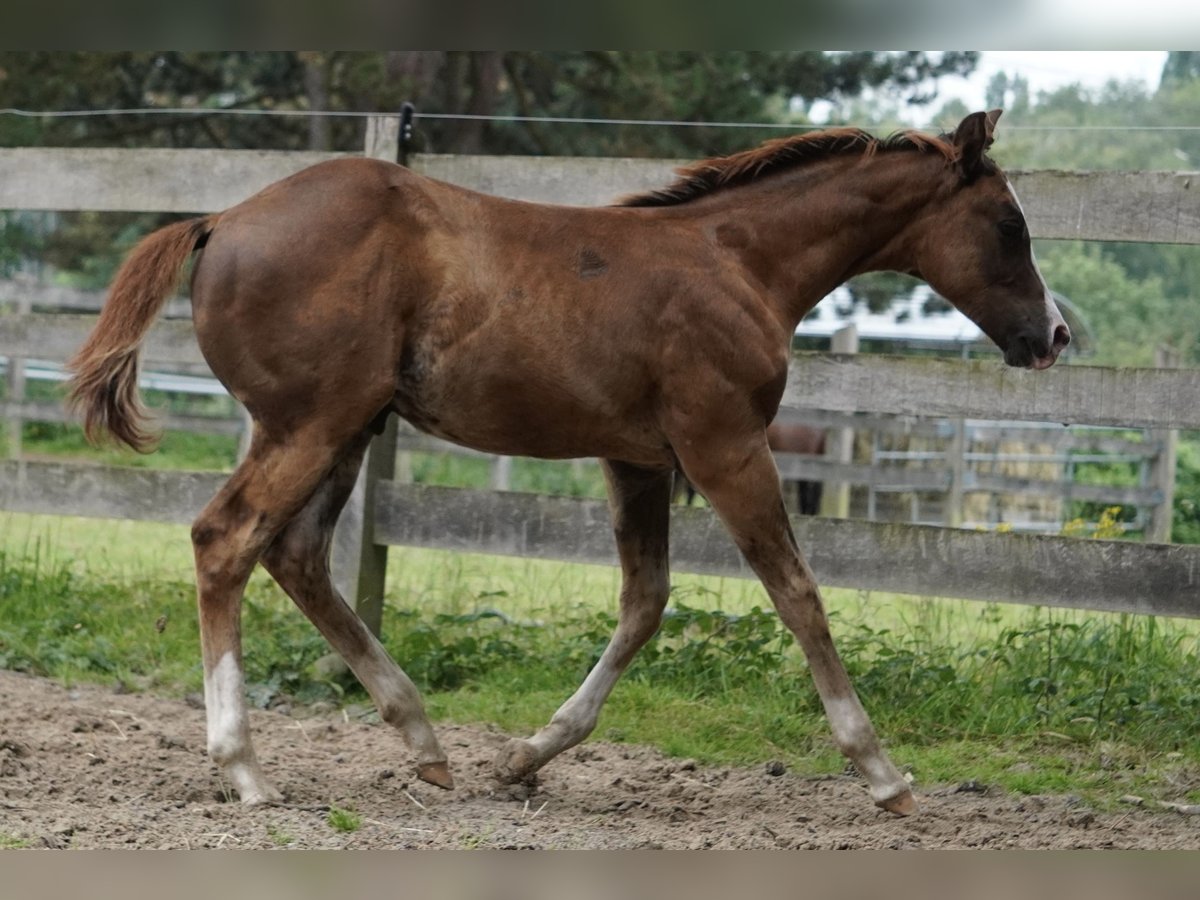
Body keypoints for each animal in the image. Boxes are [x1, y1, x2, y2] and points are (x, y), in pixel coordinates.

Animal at [68, 111, 1070, 816]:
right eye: (1009, 224)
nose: (1054, 336)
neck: (739, 262)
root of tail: (222, 219)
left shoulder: (637, 459)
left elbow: (644, 603)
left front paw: (524, 758)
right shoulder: (724, 444)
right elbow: (797, 592)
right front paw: (883, 772)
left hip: (344, 428)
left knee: (297, 555)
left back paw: (425, 743)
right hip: (309, 423)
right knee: (226, 540)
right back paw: (245, 768)